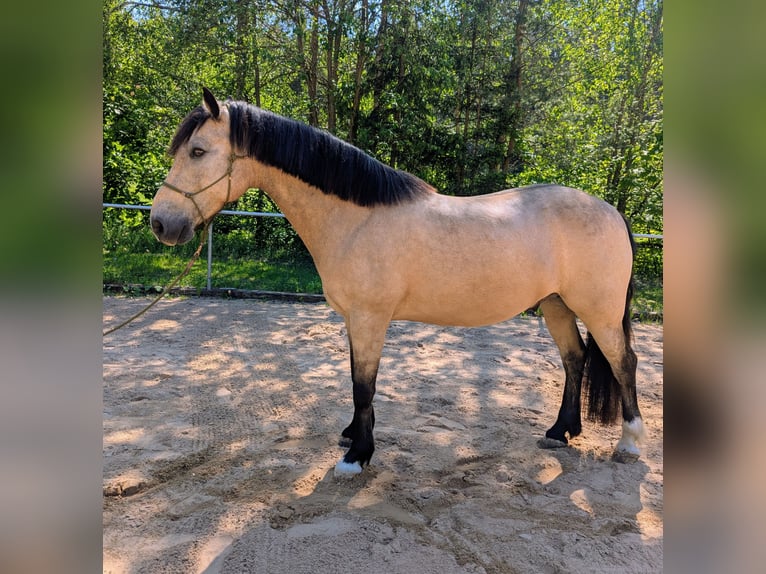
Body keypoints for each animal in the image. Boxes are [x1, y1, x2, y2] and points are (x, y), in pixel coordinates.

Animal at [150, 88, 645, 476]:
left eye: (197, 151)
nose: (161, 224)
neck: (356, 219)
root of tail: (612, 211)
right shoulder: (355, 320)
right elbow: (356, 380)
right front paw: (353, 435)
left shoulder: (371, 318)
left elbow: (363, 385)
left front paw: (356, 457)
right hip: (556, 303)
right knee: (575, 359)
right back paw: (561, 432)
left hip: (597, 310)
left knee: (623, 363)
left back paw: (629, 443)